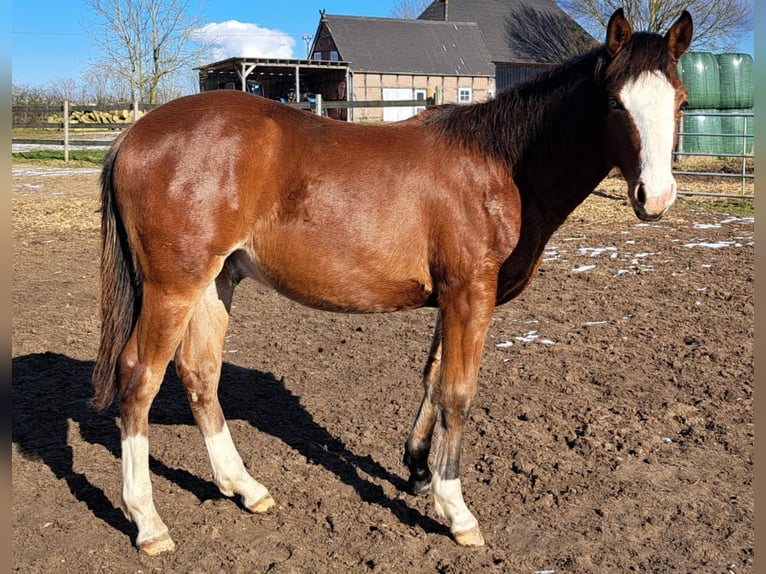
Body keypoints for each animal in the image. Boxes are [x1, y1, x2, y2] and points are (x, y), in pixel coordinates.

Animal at [91, 9, 696, 556]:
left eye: (681, 100)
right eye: (615, 103)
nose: (656, 197)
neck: (499, 164)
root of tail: (134, 135)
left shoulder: (451, 300)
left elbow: (432, 380)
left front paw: (419, 470)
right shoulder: (470, 296)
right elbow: (458, 393)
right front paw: (456, 509)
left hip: (218, 281)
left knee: (200, 374)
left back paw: (244, 487)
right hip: (175, 286)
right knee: (139, 379)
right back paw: (148, 523)